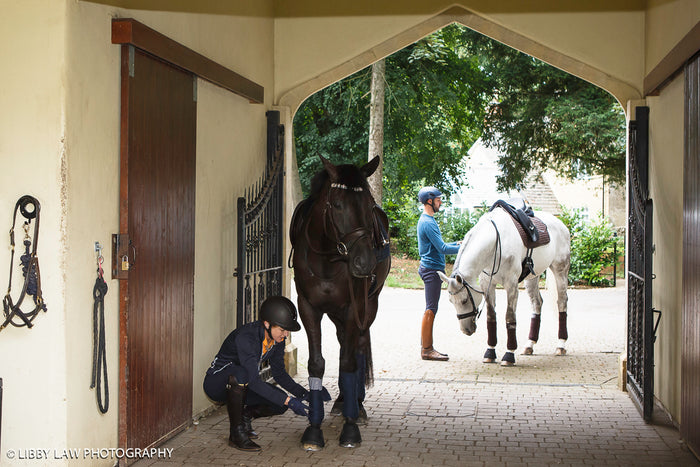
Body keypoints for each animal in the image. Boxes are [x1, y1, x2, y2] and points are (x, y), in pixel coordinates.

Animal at [290, 155, 391, 450]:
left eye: (368, 203)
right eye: (336, 205)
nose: (364, 262)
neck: (328, 260)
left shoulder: (352, 308)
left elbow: (348, 362)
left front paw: (350, 428)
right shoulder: (308, 307)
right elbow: (316, 363)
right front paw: (313, 431)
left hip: (369, 305)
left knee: (357, 346)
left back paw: (355, 404)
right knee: (344, 341)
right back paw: (342, 401)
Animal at [438, 201, 570, 366]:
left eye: (464, 300)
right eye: (451, 301)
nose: (466, 330)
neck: (495, 244)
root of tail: (561, 224)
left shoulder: (511, 285)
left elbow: (510, 317)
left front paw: (509, 354)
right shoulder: (487, 285)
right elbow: (491, 317)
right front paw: (490, 352)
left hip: (560, 271)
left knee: (562, 302)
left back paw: (561, 345)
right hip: (532, 277)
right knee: (537, 303)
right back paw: (529, 344)